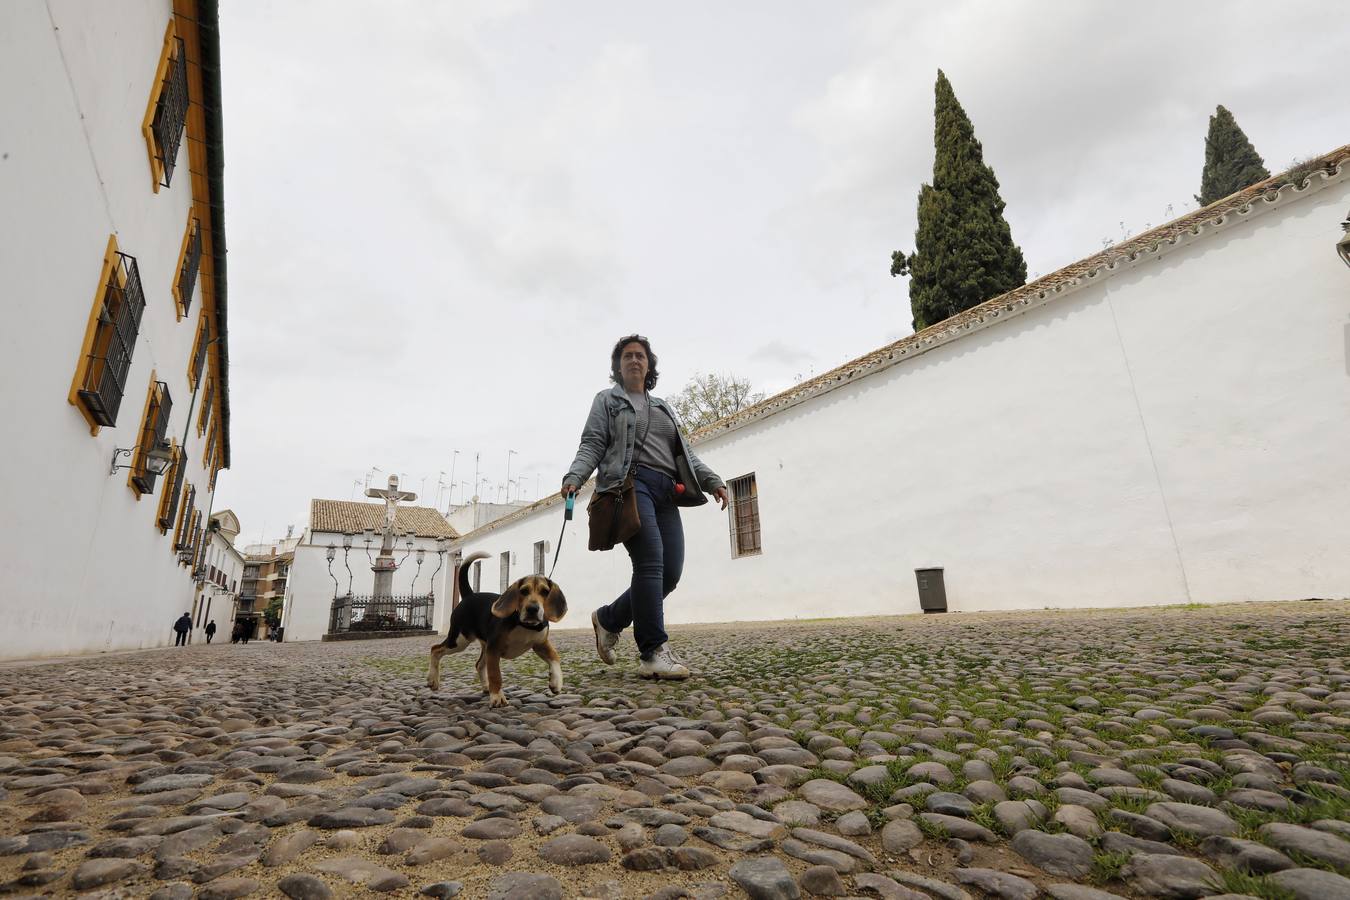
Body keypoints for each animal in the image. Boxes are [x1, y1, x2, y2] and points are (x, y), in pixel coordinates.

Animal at [426, 553, 564, 707]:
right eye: (523, 591)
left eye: (545, 592)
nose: (532, 609)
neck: (524, 625)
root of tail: (469, 595)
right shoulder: (494, 649)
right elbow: (495, 674)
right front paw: (497, 696)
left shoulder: (540, 644)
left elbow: (555, 657)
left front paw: (556, 682)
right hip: (459, 640)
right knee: (435, 649)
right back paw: (433, 680)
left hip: (483, 645)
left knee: (479, 665)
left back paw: (487, 687)